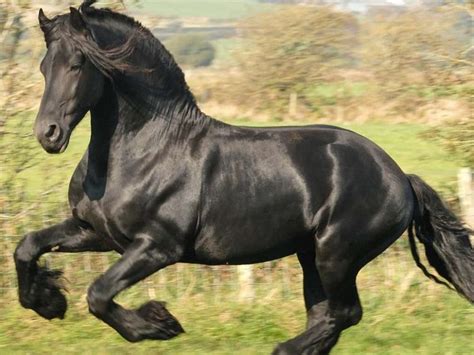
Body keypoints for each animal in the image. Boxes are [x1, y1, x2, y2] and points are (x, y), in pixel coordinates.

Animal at [12, 1, 472, 354]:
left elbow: (99, 294)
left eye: (77, 64)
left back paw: (283, 348)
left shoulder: (157, 246)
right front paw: (47, 302)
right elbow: (27, 246)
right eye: (43, 67)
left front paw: (159, 324)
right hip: (310, 255)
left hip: (336, 253)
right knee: (326, 316)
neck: (143, 150)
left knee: (344, 313)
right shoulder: (96, 232)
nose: (48, 134)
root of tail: (399, 176)